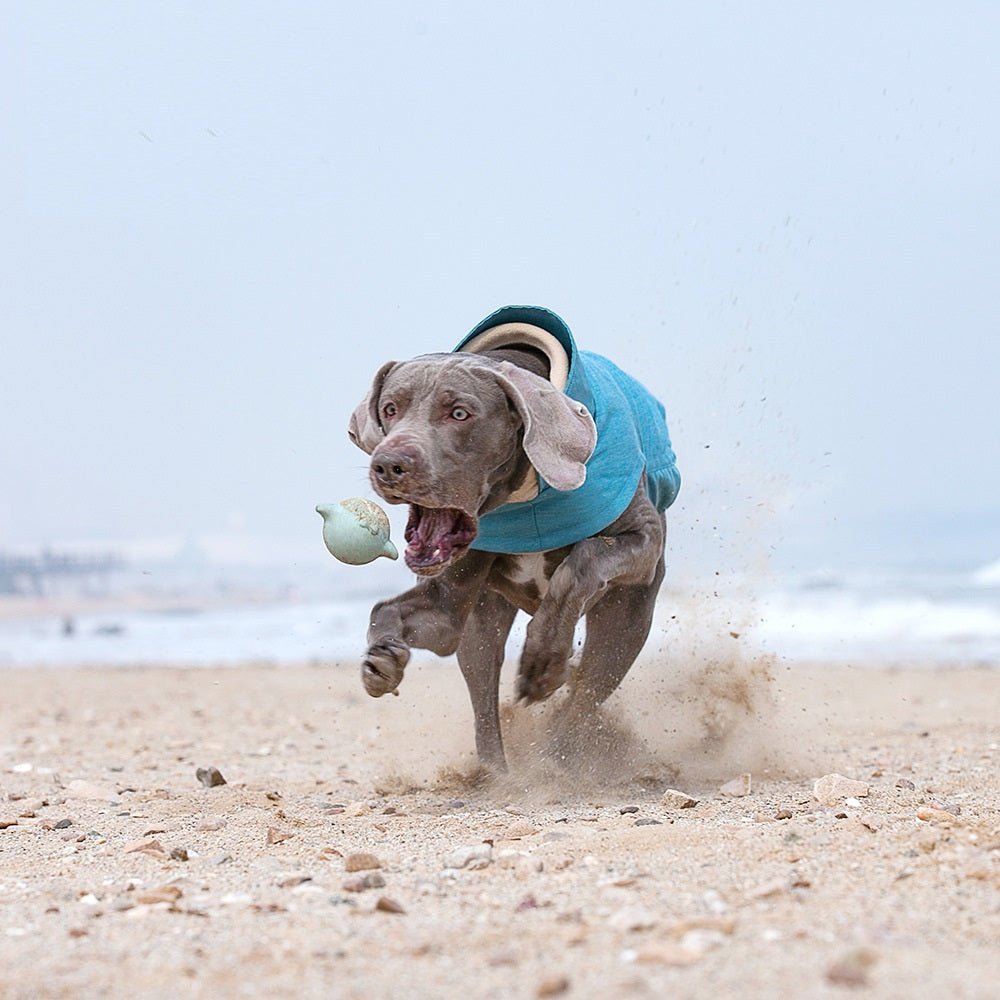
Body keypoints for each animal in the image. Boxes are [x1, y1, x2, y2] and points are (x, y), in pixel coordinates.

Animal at [346, 302, 680, 764]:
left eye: (460, 413)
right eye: (391, 408)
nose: (389, 464)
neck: (522, 498)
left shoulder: (642, 539)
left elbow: (581, 564)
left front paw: (543, 660)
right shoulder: (448, 602)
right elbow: (390, 611)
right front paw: (382, 660)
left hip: (627, 618)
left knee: (587, 693)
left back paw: (560, 755)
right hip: (483, 624)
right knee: (485, 695)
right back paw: (496, 772)